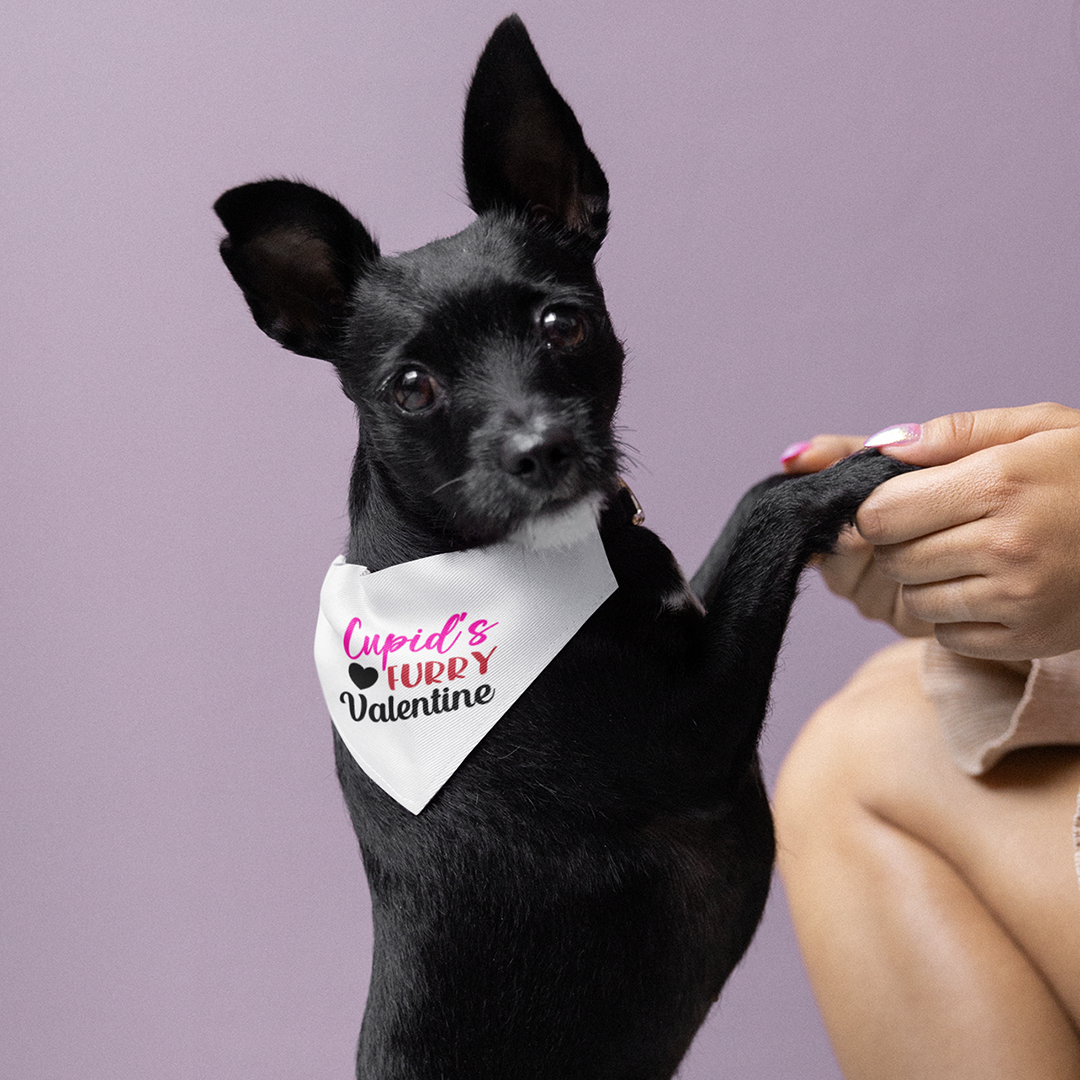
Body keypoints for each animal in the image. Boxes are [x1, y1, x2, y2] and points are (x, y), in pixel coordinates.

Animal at [214, 16, 915, 1080]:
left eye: (561, 322)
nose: (540, 448)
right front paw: (845, 477)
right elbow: (764, 515)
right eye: (409, 386)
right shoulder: (699, 726)